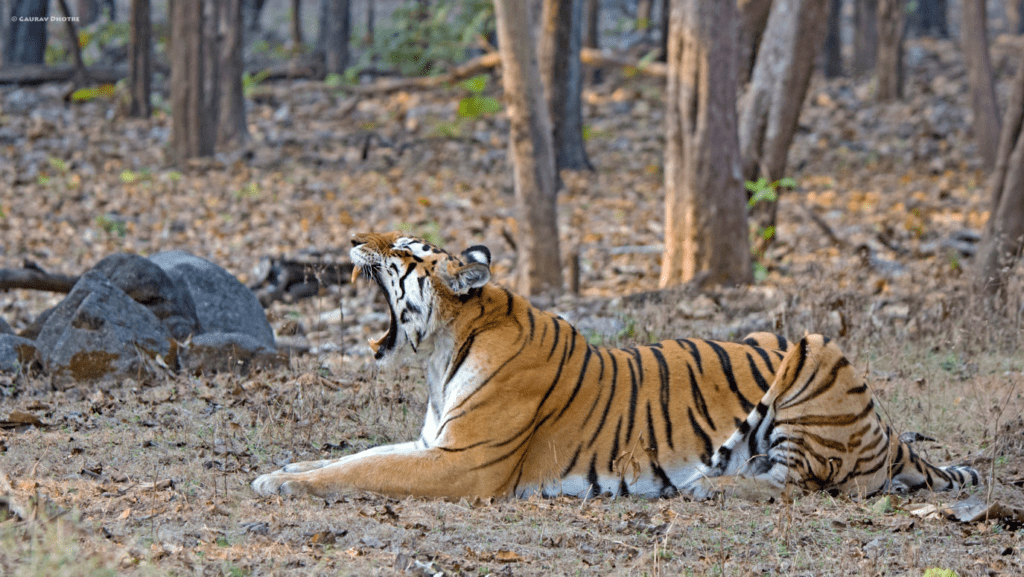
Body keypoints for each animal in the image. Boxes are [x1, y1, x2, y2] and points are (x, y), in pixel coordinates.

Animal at [251, 230, 978, 502]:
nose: (355, 238)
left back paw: (710, 486)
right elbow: (354, 455)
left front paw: (276, 484)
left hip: (816, 348)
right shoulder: (433, 443)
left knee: (802, 481)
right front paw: (283, 469)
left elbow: (362, 468)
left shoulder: (462, 463)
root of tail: (891, 433)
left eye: (402, 251)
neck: (439, 353)